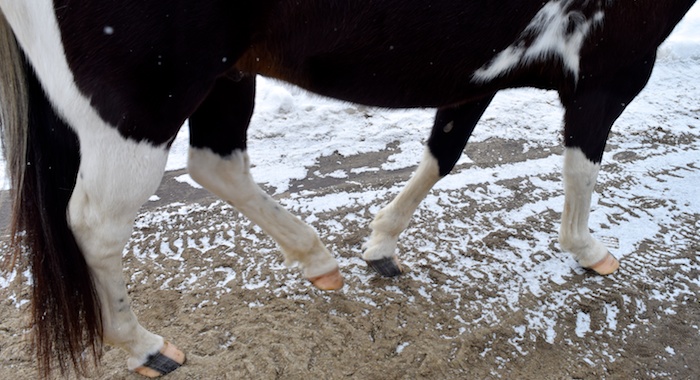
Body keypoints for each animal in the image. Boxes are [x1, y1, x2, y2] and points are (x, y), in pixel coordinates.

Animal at [0, 0, 696, 378]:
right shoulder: (609, 72)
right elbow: (582, 166)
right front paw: (587, 250)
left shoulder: (477, 74)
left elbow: (443, 153)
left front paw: (381, 244)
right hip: (148, 103)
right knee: (97, 223)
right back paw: (144, 345)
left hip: (224, 75)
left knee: (216, 164)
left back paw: (317, 260)